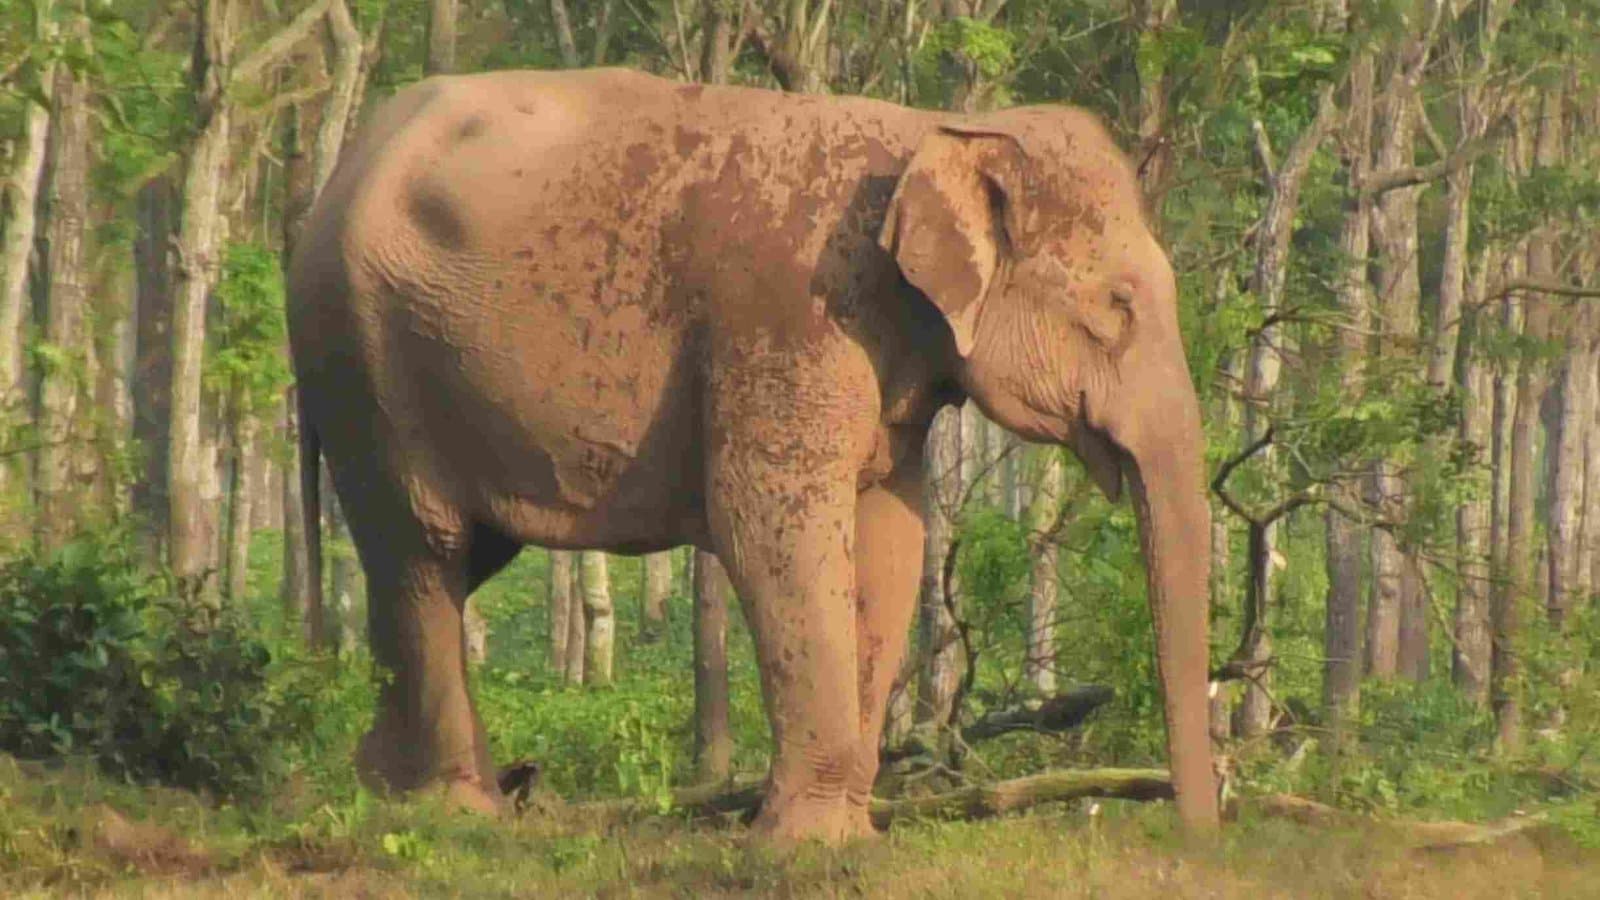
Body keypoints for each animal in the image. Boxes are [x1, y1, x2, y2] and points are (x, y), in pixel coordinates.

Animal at [287, 66, 1218, 842]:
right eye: (1118, 306)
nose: (1194, 831)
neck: (932, 129)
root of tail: (323, 192)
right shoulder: (789, 316)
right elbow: (769, 529)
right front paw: (803, 846)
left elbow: (892, 538)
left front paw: (852, 834)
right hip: (365, 365)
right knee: (424, 549)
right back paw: (456, 811)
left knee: (453, 559)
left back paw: (386, 784)